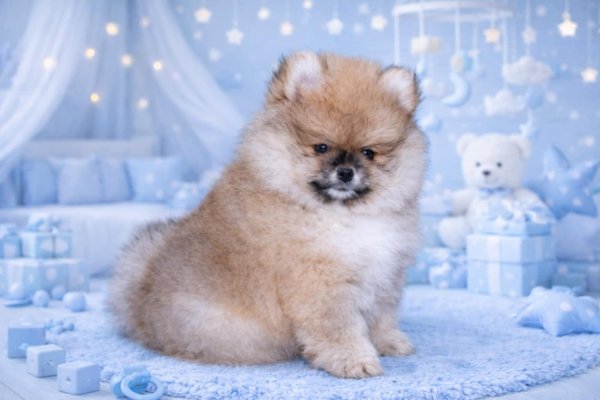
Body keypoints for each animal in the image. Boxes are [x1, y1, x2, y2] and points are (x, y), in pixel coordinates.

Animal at [109, 52, 427, 378]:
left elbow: (380, 316)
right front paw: (353, 360)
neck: (340, 215)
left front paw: (388, 341)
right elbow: (339, 327)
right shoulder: (320, 283)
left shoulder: (384, 275)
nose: (346, 172)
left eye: (368, 153)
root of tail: (139, 301)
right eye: (321, 147)